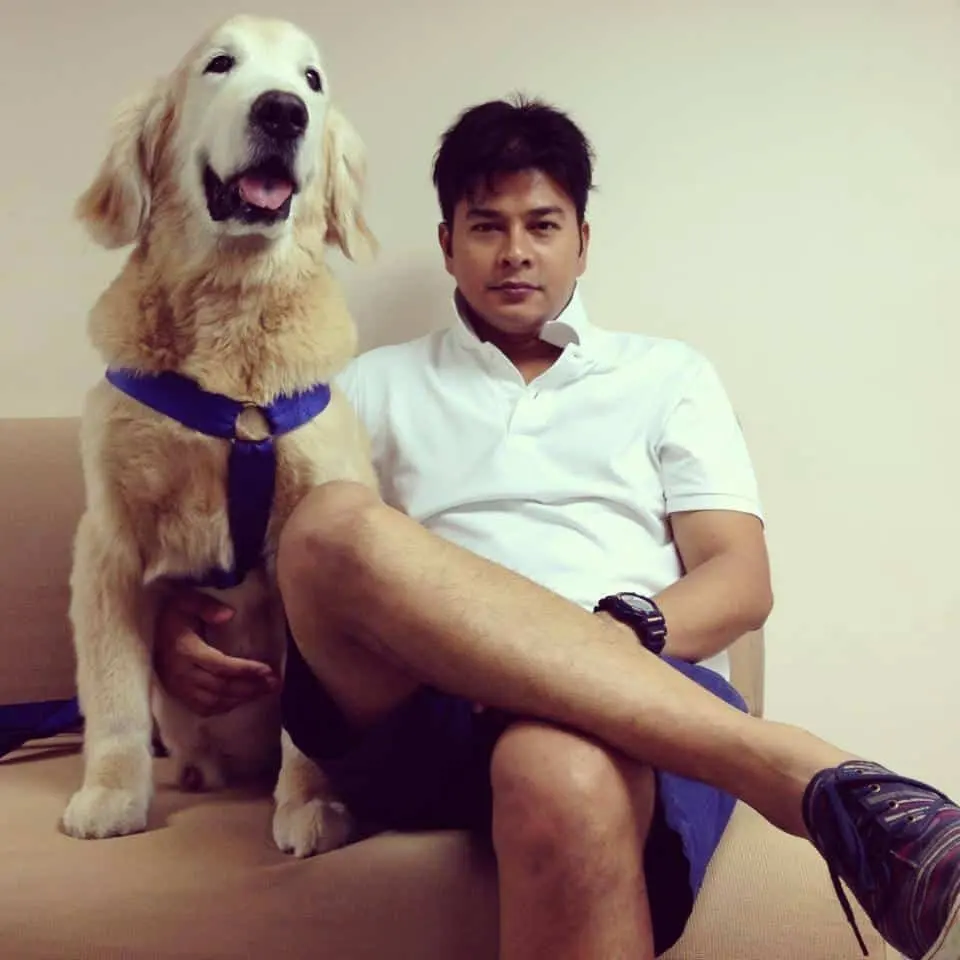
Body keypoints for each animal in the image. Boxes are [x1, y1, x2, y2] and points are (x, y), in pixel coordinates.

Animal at [60, 14, 379, 858]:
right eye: (219, 64)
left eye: (312, 80)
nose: (282, 112)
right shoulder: (107, 543)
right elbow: (114, 695)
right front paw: (112, 793)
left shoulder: (309, 533)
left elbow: (309, 714)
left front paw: (311, 802)